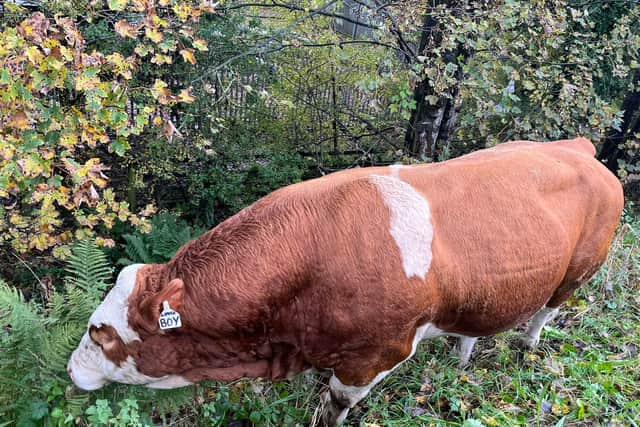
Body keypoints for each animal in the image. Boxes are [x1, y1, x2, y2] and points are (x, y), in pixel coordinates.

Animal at [70, 139, 624, 426]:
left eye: (103, 333)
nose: (73, 370)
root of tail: (577, 147)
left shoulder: (377, 353)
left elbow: (334, 405)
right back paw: (462, 356)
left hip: (579, 271)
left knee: (547, 311)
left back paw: (527, 346)